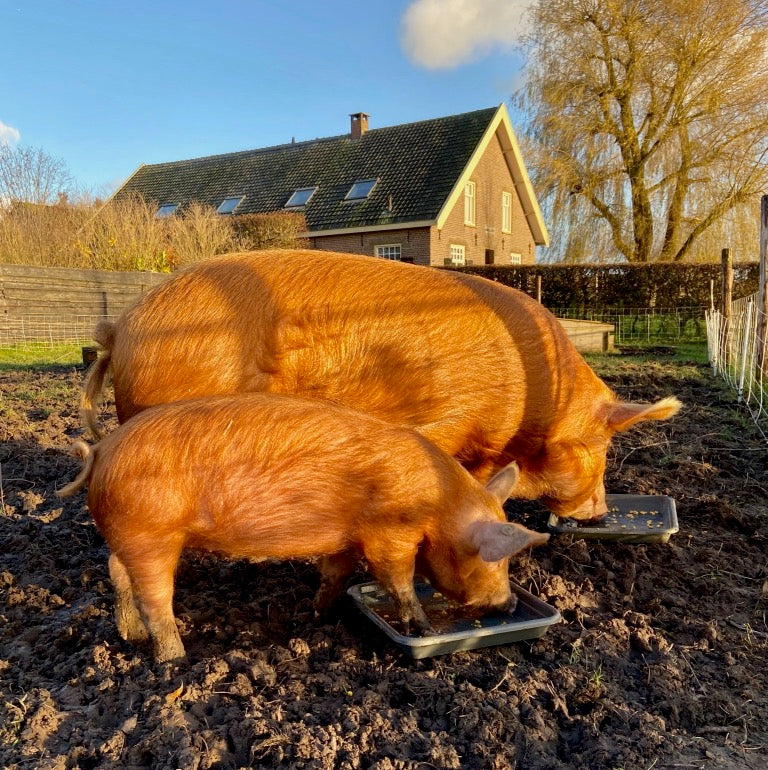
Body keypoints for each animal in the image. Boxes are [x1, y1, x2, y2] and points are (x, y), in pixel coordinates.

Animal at [59, 392, 549, 663]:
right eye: (495, 560)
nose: (509, 605)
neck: (437, 505)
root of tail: (100, 451)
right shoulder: (388, 535)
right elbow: (399, 581)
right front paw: (425, 631)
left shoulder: (348, 539)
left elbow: (334, 575)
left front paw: (319, 616)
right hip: (151, 535)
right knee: (154, 598)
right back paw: (174, 660)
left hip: (129, 537)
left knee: (114, 571)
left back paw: (131, 636)